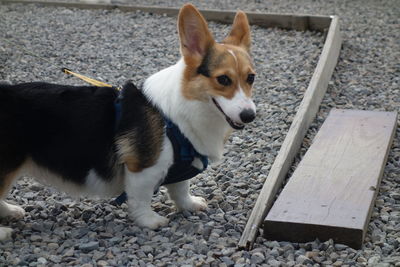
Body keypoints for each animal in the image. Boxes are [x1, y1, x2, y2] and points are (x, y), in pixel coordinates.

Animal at [0, 3, 256, 242]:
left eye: (251, 78)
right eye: (223, 79)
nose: (249, 115)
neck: (175, 116)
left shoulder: (178, 167)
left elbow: (181, 189)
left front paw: (190, 205)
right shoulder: (143, 169)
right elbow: (141, 199)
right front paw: (150, 221)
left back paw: (10, 211)